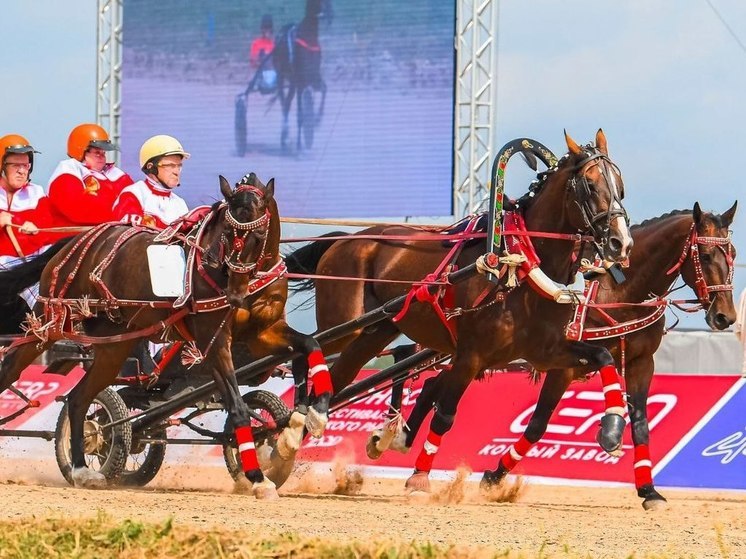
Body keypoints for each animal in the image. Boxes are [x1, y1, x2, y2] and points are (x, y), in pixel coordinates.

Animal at [0, 174, 328, 498]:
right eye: (225, 234)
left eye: (258, 237)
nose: (235, 295)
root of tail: (74, 242)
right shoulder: (215, 342)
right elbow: (237, 408)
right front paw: (258, 477)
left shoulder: (261, 334)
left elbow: (310, 345)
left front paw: (311, 416)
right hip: (51, 321)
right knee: (13, 368)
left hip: (115, 344)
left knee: (79, 398)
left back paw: (81, 470)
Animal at [272, 0, 330, 152]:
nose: (325, 14)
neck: (309, 38)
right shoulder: (300, 82)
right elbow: (300, 115)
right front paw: (298, 147)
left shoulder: (313, 78)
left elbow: (324, 89)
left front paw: (317, 120)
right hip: (282, 77)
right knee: (284, 103)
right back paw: (285, 137)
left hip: (292, 83)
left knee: (287, 103)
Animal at [290, 130, 632, 490]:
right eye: (590, 185)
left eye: (620, 186)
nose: (620, 243)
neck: (517, 268)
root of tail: (345, 239)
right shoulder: (471, 355)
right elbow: (445, 415)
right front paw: (419, 478)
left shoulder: (544, 352)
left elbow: (603, 357)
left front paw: (611, 429)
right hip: (345, 324)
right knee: (306, 348)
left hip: (376, 331)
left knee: (336, 377)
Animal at [480, 202, 736, 512]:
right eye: (706, 255)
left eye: (734, 254)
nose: (725, 316)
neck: (618, 294)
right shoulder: (562, 367)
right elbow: (537, 424)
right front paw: (494, 476)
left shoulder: (642, 363)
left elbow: (640, 424)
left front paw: (648, 490)